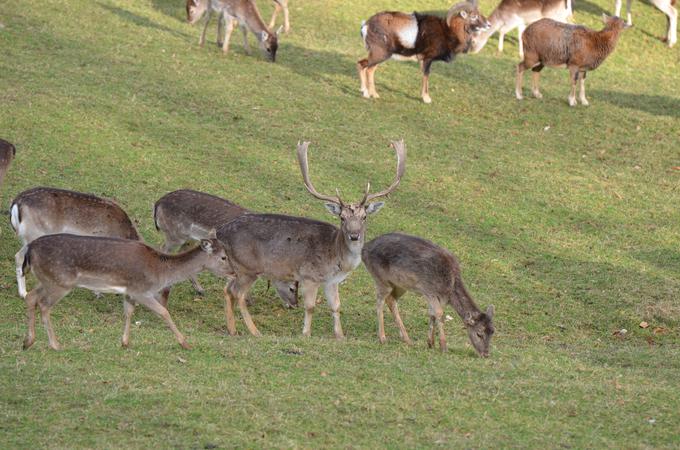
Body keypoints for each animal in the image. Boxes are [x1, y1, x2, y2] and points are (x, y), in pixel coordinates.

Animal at [17, 232, 231, 352]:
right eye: (223, 257)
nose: (233, 272)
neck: (161, 272)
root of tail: (30, 249)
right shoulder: (141, 290)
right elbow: (164, 312)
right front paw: (185, 344)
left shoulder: (129, 292)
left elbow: (128, 313)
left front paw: (125, 342)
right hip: (60, 281)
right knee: (44, 304)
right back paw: (55, 345)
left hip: (47, 279)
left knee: (31, 297)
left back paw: (28, 341)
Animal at [154, 188, 298, 308]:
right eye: (292, 288)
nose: (293, 305)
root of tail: (158, 203)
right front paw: (246, 300)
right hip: (175, 235)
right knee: (163, 249)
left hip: (189, 239)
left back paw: (200, 290)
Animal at [218, 140, 406, 338]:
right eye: (342, 217)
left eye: (364, 217)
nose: (354, 235)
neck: (337, 256)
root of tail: (221, 231)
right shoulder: (309, 275)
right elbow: (310, 307)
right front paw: (306, 333)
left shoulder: (332, 281)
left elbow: (336, 306)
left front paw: (340, 336)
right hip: (248, 267)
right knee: (238, 293)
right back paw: (255, 331)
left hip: (236, 267)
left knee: (227, 289)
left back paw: (232, 330)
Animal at [362, 234, 494, 356]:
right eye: (479, 333)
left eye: (492, 332)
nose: (486, 354)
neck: (449, 288)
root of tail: (364, 249)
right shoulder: (429, 291)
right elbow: (439, 313)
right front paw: (443, 347)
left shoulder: (437, 297)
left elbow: (432, 313)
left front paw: (430, 343)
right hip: (381, 279)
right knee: (380, 301)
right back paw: (382, 338)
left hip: (400, 284)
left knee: (391, 300)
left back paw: (407, 339)